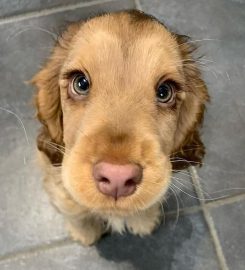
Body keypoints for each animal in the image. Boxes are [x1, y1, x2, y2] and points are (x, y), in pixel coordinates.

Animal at [31, 10, 210, 245]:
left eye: (164, 91)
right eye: (81, 83)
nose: (117, 177)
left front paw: (144, 221)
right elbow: (72, 207)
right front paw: (85, 233)